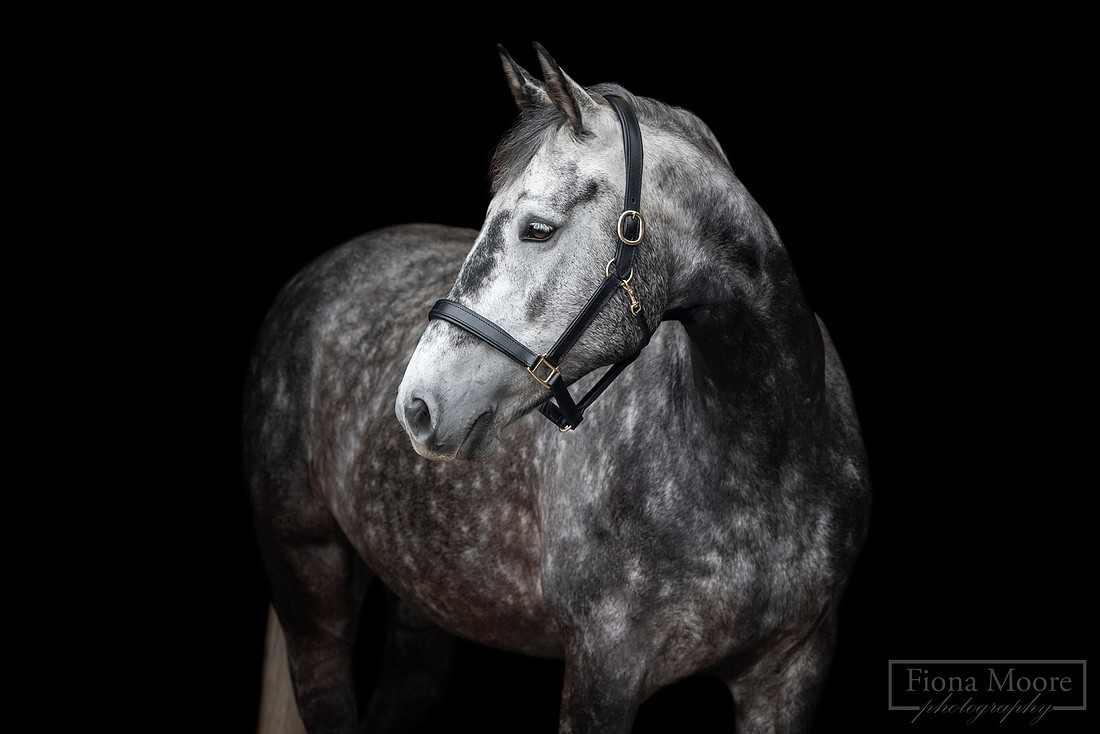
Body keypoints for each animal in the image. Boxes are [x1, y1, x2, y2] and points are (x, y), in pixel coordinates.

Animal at [244, 44, 871, 734]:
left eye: (538, 229)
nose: (417, 406)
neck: (763, 457)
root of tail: (314, 278)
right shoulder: (603, 668)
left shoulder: (790, 675)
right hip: (311, 585)